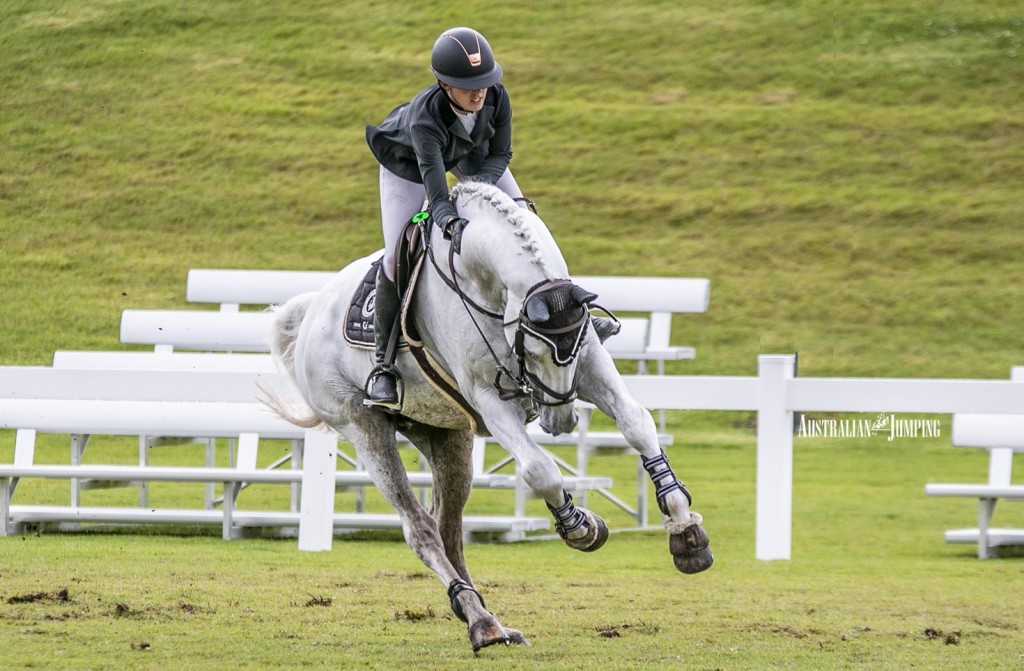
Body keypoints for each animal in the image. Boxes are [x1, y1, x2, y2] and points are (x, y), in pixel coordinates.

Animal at [262, 181, 712, 655]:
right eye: (531, 350)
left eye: (568, 347)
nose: (560, 420)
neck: (485, 282)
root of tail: (309, 311)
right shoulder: (489, 397)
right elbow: (540, 470)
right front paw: (581, 528)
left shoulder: (589, 363)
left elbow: (637, 424)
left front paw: (685, 533)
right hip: (365, 430)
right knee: (421, 530)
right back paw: (482, 624)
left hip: (445, 434)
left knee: (449, 530)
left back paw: (483, 617)